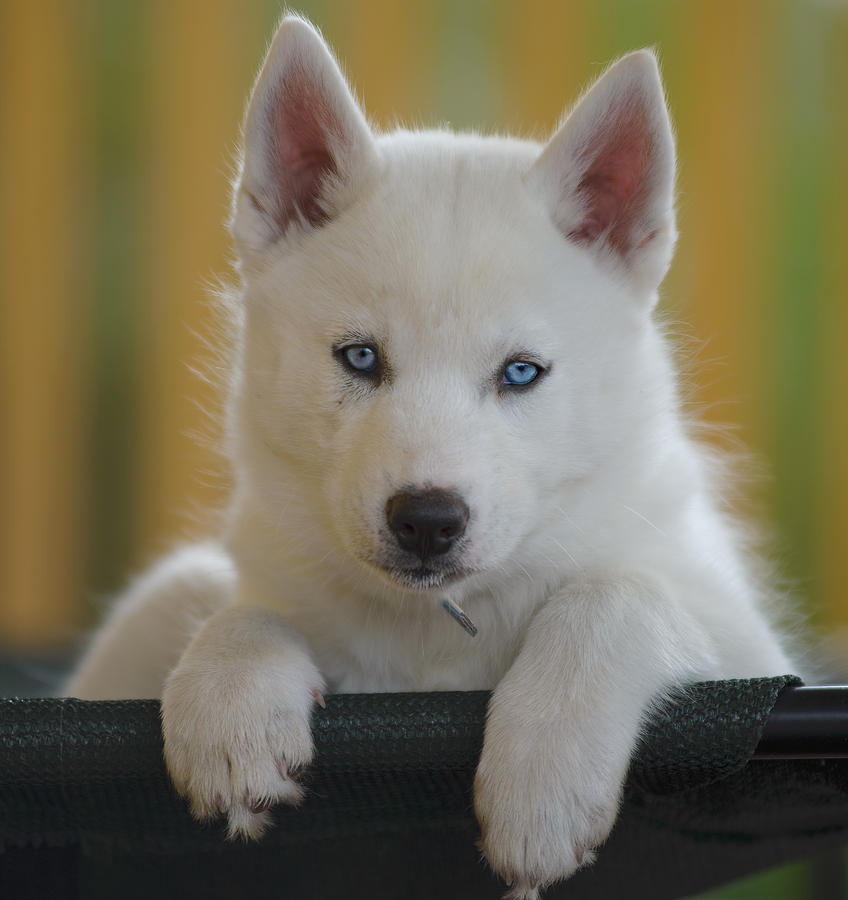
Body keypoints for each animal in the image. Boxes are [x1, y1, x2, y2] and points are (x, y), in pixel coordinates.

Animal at [66, 15, 796, 900]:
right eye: (359, 358)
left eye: (521, 372)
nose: (426, 521)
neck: (436, 628)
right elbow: (246, 607)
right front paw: (232, 705)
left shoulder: (749, 647)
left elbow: (612, 595)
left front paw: (543, 776)